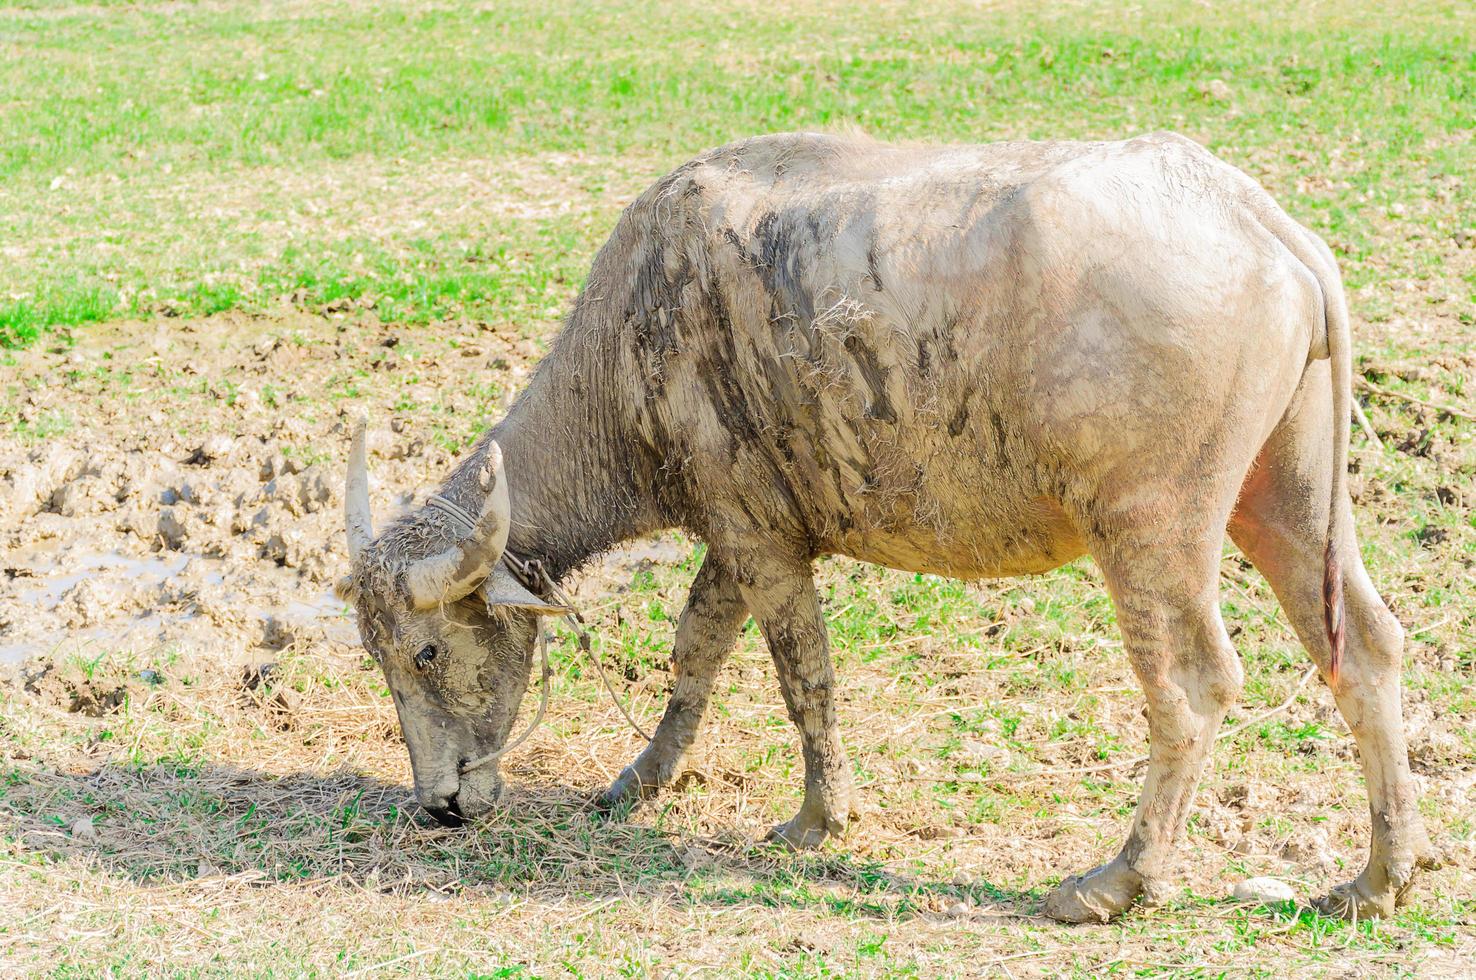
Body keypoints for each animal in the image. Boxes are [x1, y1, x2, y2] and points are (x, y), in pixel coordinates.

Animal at [335, 134, 1428, 920]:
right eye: (378, 657)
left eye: (426, 651)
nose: (438, 803)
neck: (631, 344)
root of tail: (1260, 223)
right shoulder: (738, 531)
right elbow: (696, 651)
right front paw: (641, 777)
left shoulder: (764, 544)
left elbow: (801, 675)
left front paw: (817, 819)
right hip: (1287, 495)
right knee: (1365, 646)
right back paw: (1379, 876)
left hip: (1152, 528)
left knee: (1194, 686)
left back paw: (1116, 881)